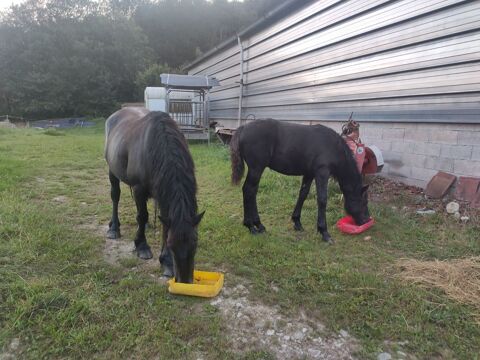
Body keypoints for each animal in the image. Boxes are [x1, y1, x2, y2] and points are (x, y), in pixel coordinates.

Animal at [104, 108, 203, 282]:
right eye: (171, 245)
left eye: (195, 243)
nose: (184, 281)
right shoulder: (139, 189)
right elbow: (142, 215)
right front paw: (142, 246)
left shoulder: (163, 194)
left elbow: (163, 223)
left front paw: (167, 262)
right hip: (112, 172)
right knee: (115, 196)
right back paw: (114, 229)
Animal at [231, 119, 370, 243]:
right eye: (363, 202)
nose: (366, 221)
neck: (333, 147)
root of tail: (243, 128)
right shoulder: (322, 173)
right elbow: (322, 200)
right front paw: (324, 232)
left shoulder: (309, 174)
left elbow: (303, 194)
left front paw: (297, 222)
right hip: (256, 168)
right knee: (248, 190)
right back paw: (250, 226)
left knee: (252, 192)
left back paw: (259, 225)